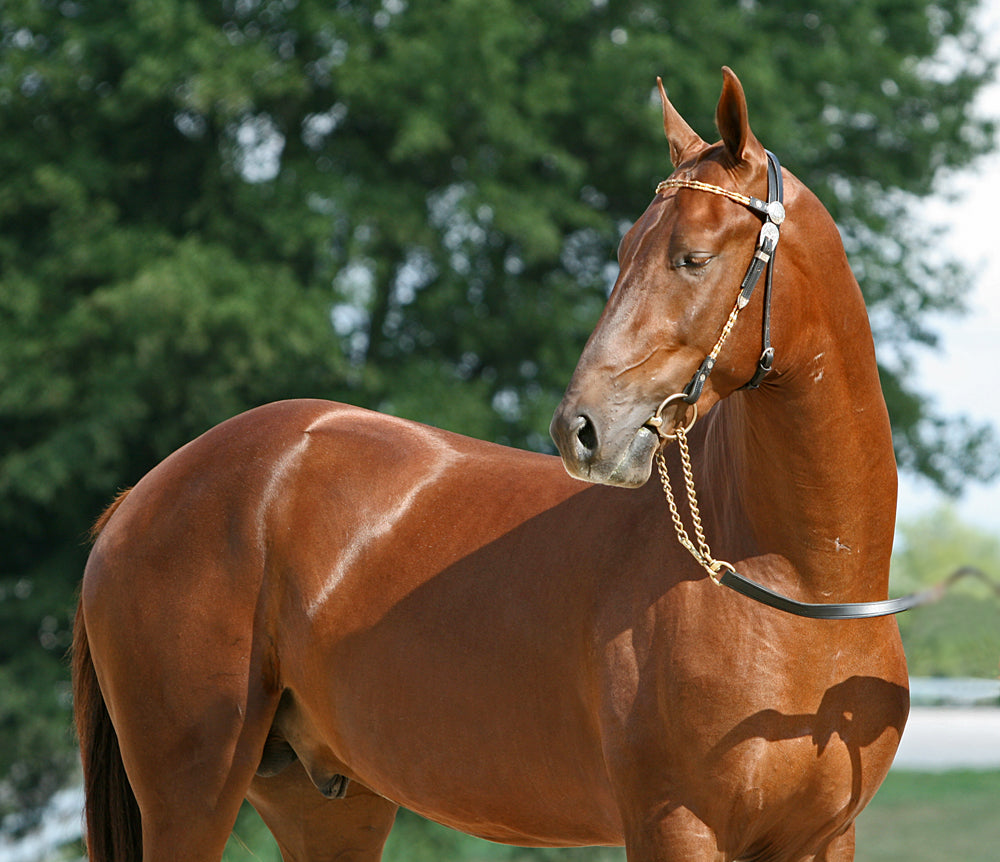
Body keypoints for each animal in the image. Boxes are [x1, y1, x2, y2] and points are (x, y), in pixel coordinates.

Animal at [74, 69, 912, 862]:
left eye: (693, 258)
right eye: (624, 251)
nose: (581, 429)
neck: (799, 585)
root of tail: (142, 496)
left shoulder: (823, 837)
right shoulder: (674, 825)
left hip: (323, 802)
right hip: (192, 795)